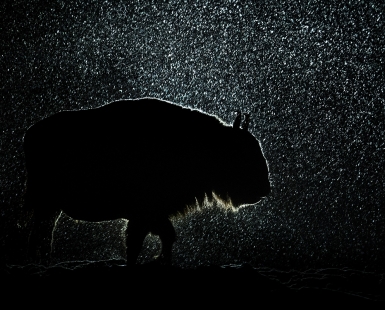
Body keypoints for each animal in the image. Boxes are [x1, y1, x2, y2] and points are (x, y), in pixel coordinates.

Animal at [23, 98, 270, 266]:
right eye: (243, 152)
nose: (264, 189)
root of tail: (31, 132)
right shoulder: (144, 214)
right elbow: (138, 242)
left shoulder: (154, 214)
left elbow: (165, 237)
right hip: (46, 204)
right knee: (41, 235)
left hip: (51, 207)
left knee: (42, 234)